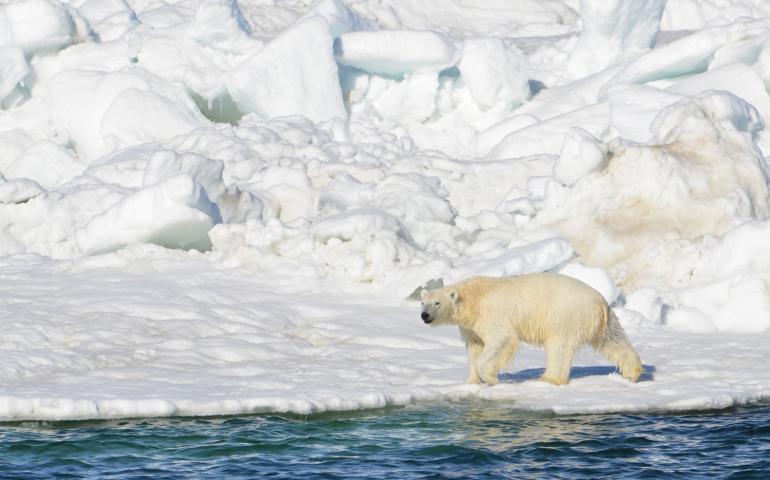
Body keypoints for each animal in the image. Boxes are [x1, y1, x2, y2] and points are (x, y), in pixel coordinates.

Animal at [420, 273, 642, 386]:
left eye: (437, 303)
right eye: (423, 302)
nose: (424, 316)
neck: (473, 298)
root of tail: (599, 301)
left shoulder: (492, 315)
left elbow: (501, 340)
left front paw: (490, 378)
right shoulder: (471, 326)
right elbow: (475, 347)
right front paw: (471, 381)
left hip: (564, 315)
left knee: (559, 347)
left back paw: (547, 378)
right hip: (601, 321)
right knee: (613, 340)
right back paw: (632, 372)